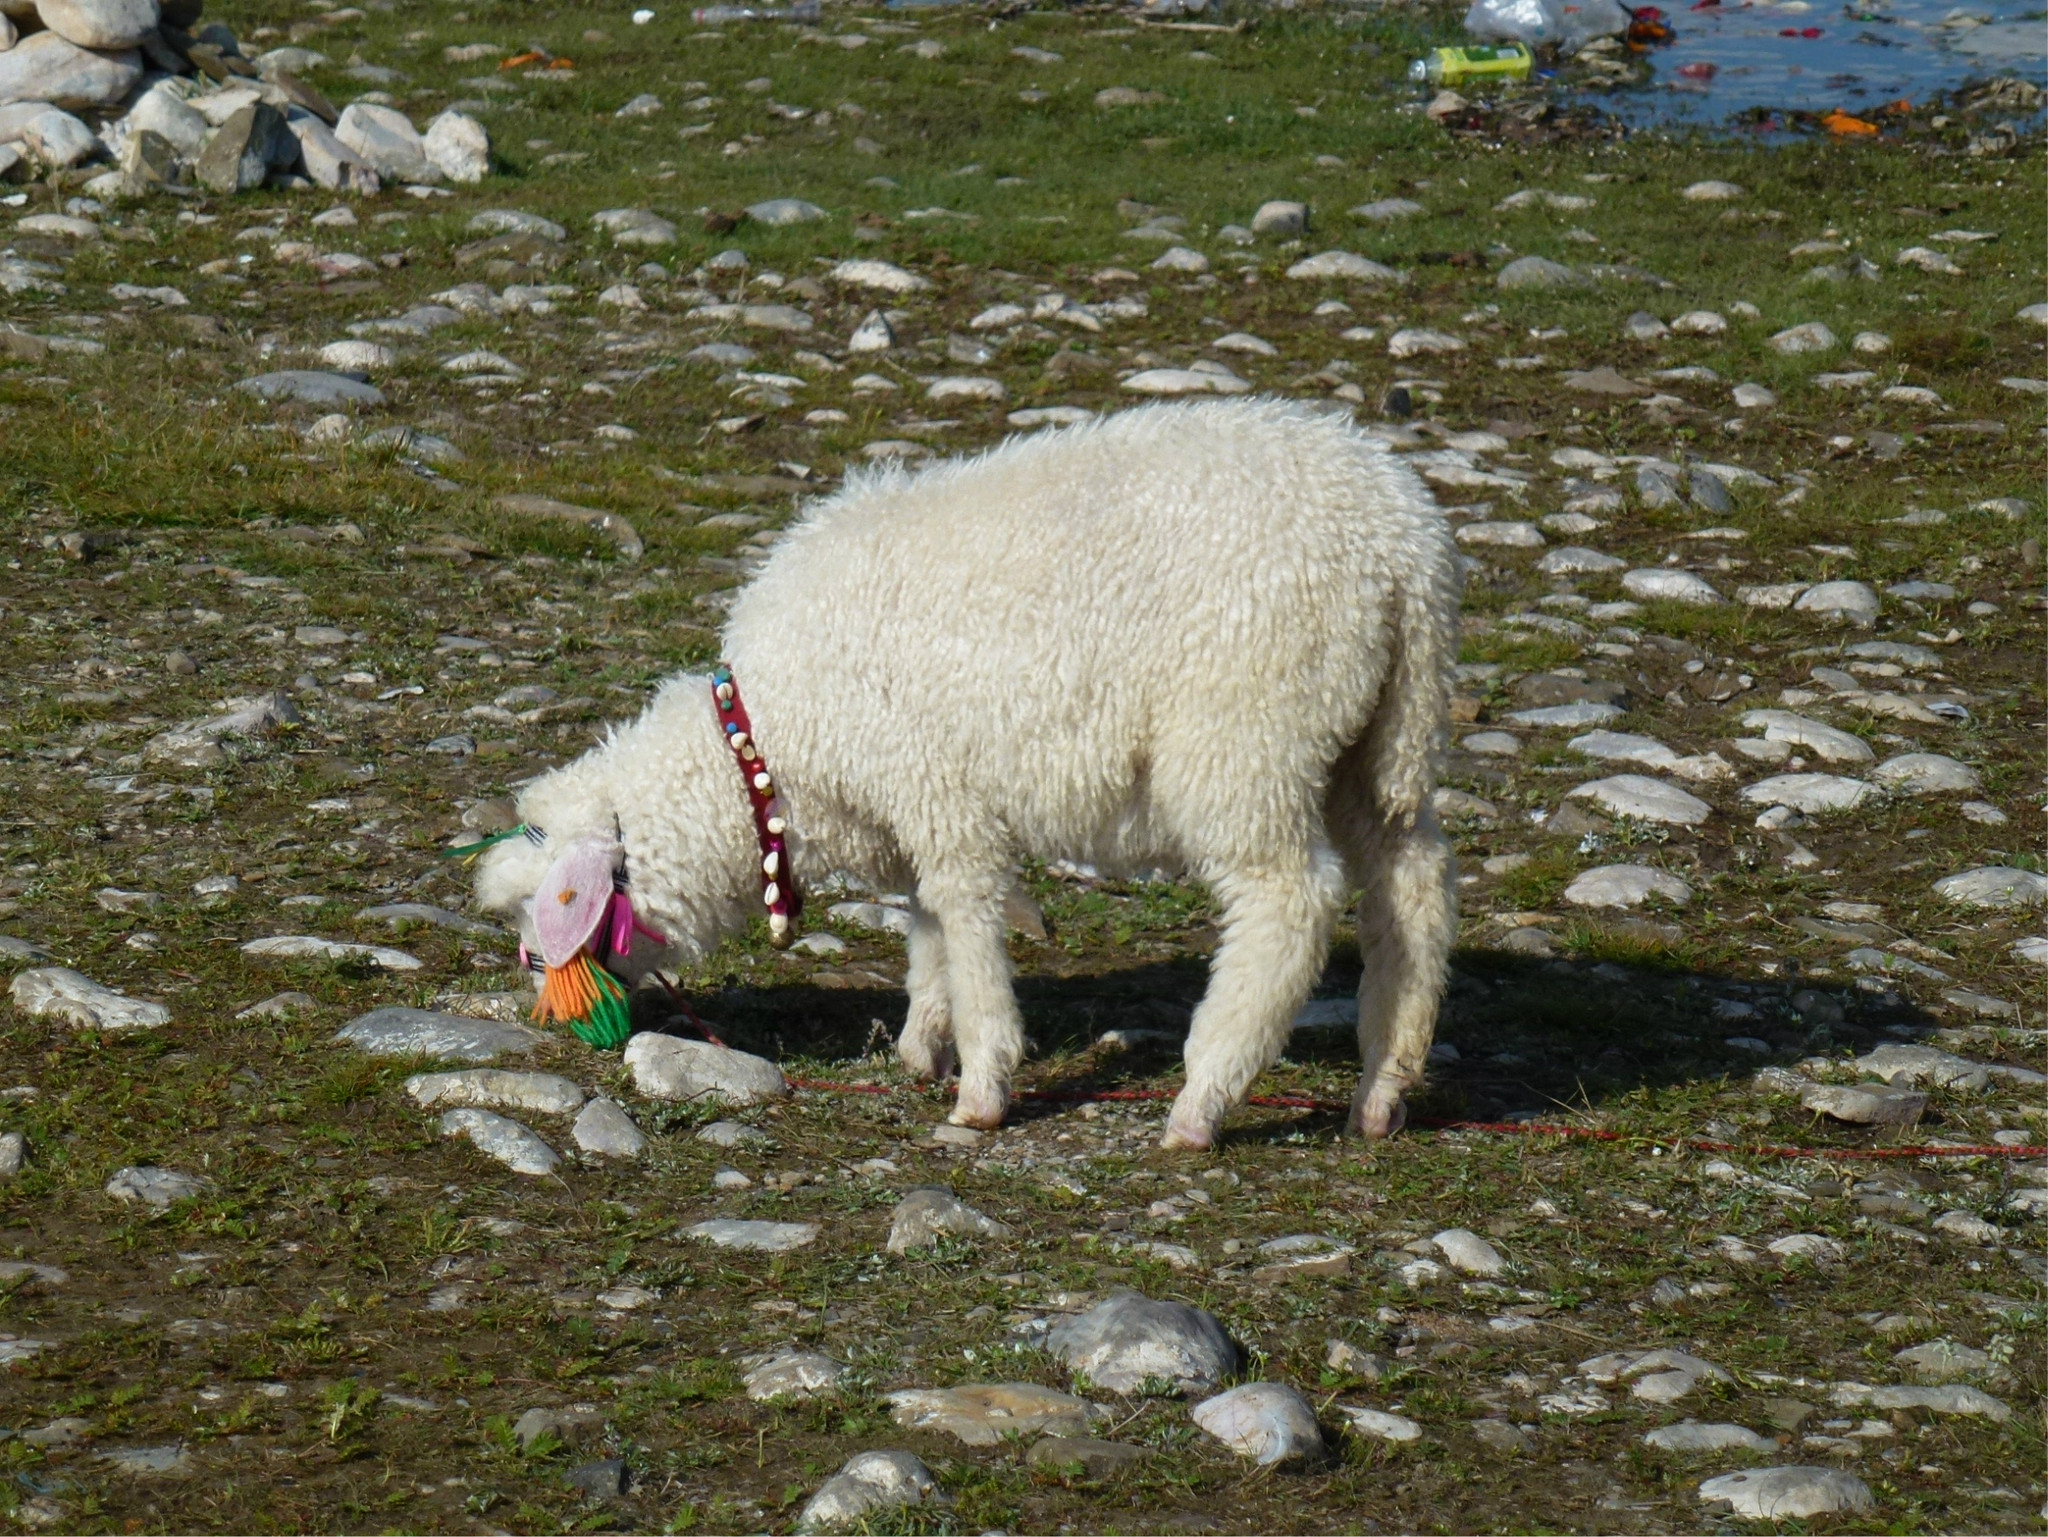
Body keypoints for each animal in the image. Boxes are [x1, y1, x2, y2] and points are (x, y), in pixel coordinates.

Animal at [471, 403, 1466, 1147]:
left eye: (543, 918)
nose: (542, 996)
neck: (768, 748)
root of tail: (1404, 545)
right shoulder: (913, 810)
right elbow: (927, 928)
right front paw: (923, 1043)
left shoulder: (940, 794)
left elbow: (968, 921)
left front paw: (982, 1082)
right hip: (1373, 738)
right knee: (1411, 885)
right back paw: (1383, 1087)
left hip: (1247, 737)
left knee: (1287, 901)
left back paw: (1204, 1096)